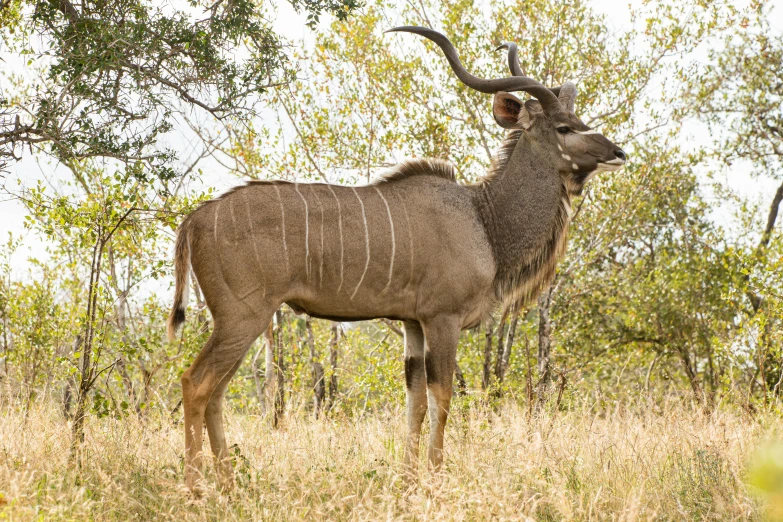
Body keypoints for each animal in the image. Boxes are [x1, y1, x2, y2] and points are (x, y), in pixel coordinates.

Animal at [168, 25, 628, 488]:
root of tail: (194, 221)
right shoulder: (442, 318)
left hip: (241, 322)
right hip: (243, 317)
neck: (483, 218)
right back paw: (195, 487)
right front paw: (436, 479)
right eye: (565, 128)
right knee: (195, 382)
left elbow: (416, 402)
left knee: (215, 391)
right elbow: (442, 396)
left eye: (581, 121)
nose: (618, 153)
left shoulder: (412, 323)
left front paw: (408, 481)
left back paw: (228, 484)